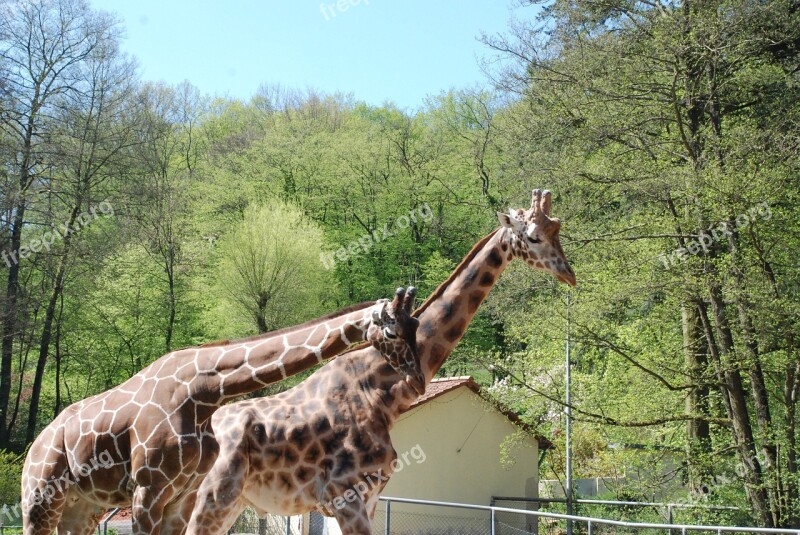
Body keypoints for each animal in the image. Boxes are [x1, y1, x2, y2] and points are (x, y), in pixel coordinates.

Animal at [20, 288, 424, 535]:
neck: (206, 393)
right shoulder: (147, 488)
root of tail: (33, 446)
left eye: (416, 325)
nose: (418, 381)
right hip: (40, 497)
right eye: (391, 332)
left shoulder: (182, 495)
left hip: (82, 506)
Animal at [188, 191, 576, 535]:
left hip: (232, 501)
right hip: (213, 496)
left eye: (557, 226)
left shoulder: (371, 496)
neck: (383, 394)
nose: (569, 274)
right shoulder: (346, 495)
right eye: (533, 236)